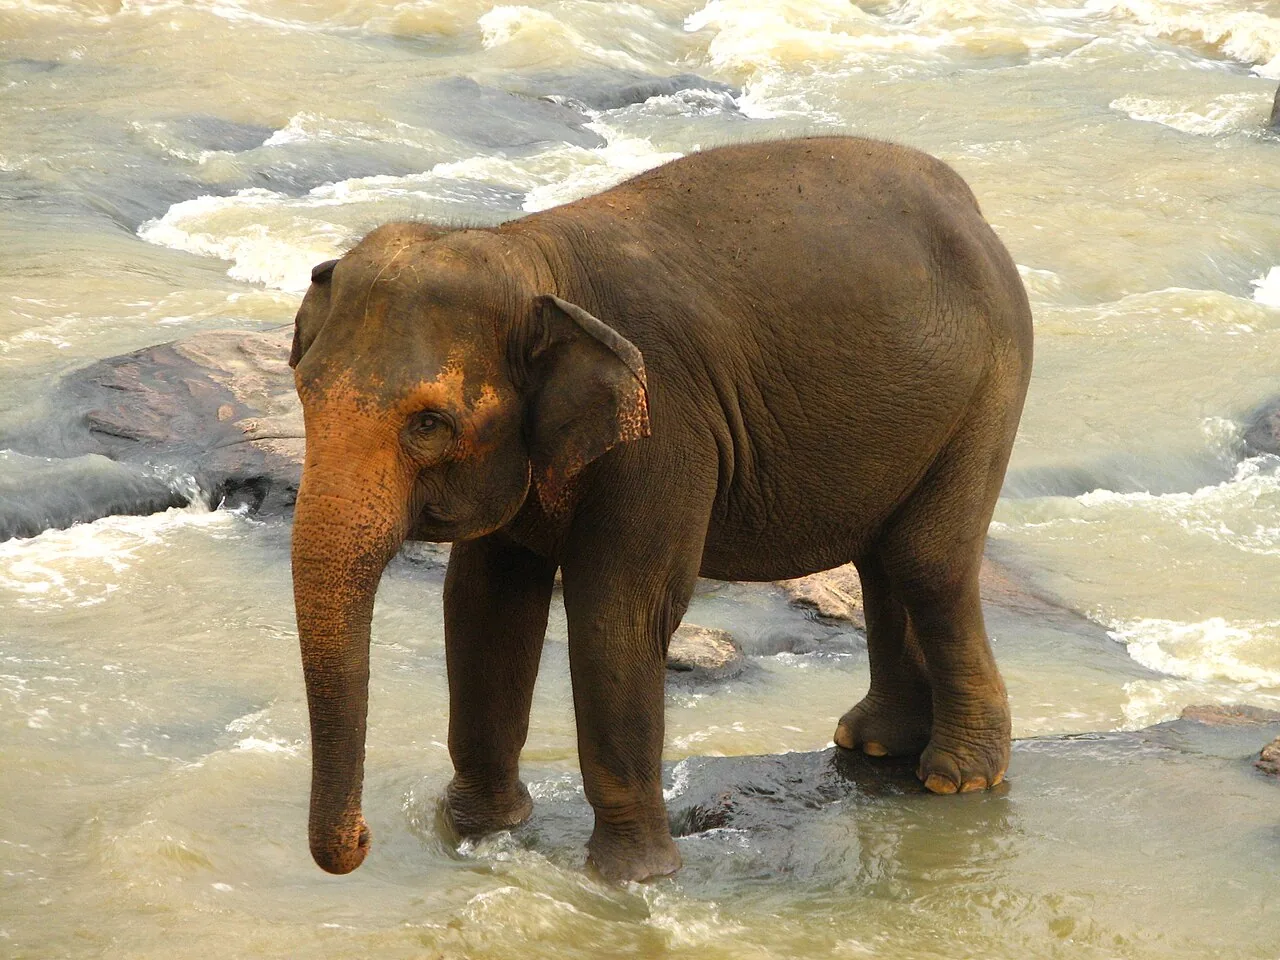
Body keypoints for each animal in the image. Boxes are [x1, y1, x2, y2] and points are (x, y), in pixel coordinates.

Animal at [288, 135, 1033, 882]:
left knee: (926, 563)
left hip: (990, 389)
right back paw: (875, 745)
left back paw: (957, 777)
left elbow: (620, 611)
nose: (361, 843)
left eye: (429, 424)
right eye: (303, 390)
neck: (531, 255)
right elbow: (483, 600)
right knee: (882, 558)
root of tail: (971, 205)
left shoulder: (667, 427)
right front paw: (482, 830)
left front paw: (632, 877)